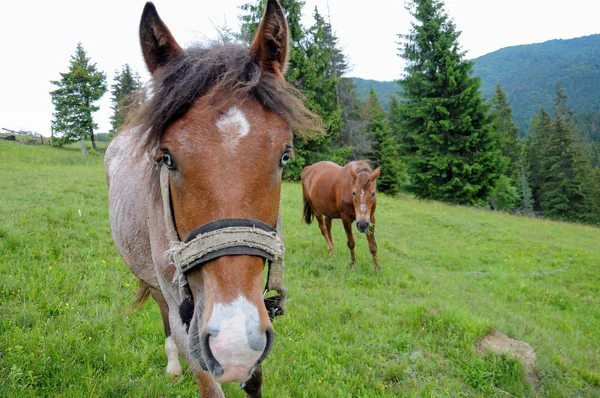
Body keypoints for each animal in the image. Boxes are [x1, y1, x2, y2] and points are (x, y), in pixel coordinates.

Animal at [105, 1, 322, 396]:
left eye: (285, 156)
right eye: (166, 158)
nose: (234, 343)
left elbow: (255, 379)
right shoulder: (189, 320)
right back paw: (172, 365)